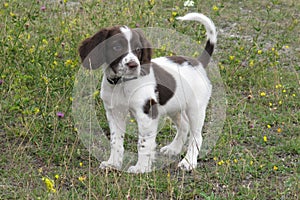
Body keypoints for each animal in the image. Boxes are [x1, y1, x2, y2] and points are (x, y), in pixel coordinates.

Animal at [78, 12, 217, 173]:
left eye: (138, 49)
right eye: (116, 47)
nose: (133, 65)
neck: (122, 84)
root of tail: (198, 62)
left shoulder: (147, 114)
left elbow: (143, 144)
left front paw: (141, 168)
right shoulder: (114, 113)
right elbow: (115, 140)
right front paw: (113, 163)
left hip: (196, 109)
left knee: (196, 136)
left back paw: (188, 163)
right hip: (174, 106)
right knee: (184, 125)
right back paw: (173, 149)